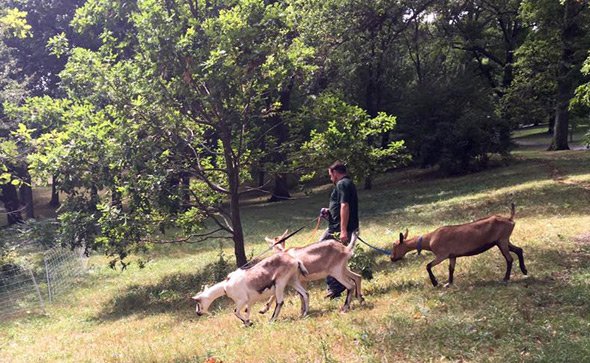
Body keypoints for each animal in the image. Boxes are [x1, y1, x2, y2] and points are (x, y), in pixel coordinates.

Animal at [394, 205, 528, 288]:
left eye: (394, 246)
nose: (392, 258)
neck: (430, 239)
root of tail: (510, 219)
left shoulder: (442, 255)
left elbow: (428, 266)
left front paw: (435, 283)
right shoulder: (452, 255)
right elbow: (451, 269)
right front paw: (449, 283)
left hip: (502, 240)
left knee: (509, 258)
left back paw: (506, 278)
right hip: (503, 240)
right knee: (519, 250)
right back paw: (524, 270)